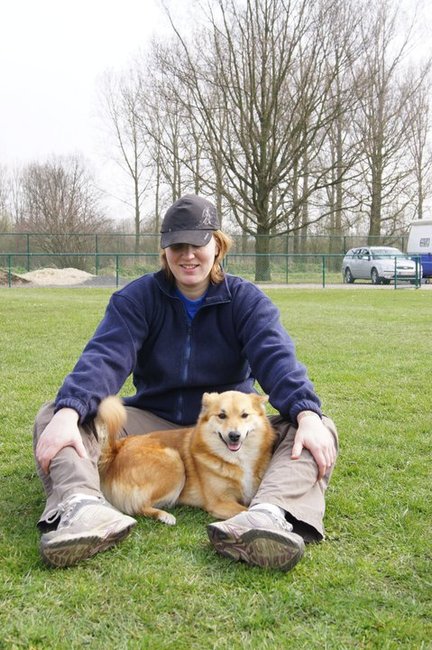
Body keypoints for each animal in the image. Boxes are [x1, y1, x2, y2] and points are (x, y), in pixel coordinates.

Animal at [97, 390, 276, 525]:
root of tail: (116, 451)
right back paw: (164, 515)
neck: (237, 459)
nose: (234, 436)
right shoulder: (220, 502)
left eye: (245, 415)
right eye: (221, 415)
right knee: (137, 506)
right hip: (174, 462)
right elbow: (245, 510)